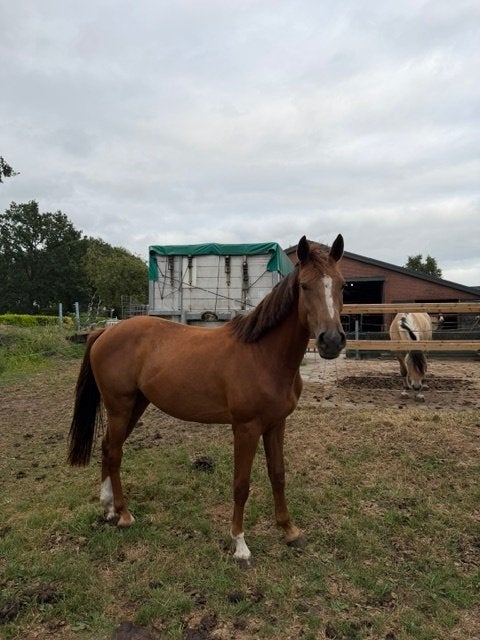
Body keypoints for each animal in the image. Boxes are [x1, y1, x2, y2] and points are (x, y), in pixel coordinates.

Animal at [68, 234, 346, 565]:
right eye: (304, 286)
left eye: (342, 285)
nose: (331, 341)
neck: (264, 355)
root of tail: (104, 333)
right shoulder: (246, 428)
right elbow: (241, 484)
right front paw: (240, 545)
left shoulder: (276, 424)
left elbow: (278, 475)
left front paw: (290, 531)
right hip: (120, 406)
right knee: (114, 453)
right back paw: (124, 515)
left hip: (135, 405)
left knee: (108, 446)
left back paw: (108, 508)